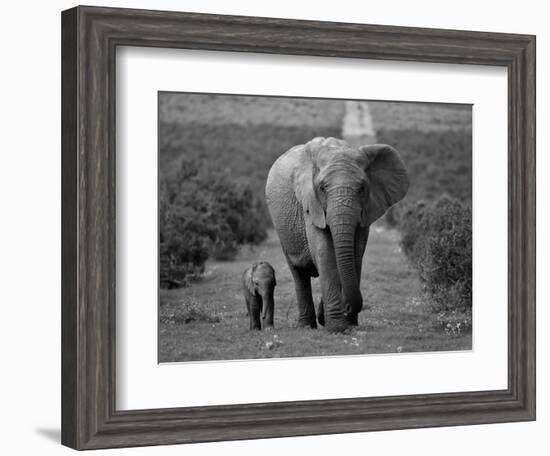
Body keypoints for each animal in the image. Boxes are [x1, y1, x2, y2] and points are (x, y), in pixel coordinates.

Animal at [268, 137, 410, 334]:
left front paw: (349, 324)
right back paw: (306, 326)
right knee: (299, 273)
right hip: (281, 227)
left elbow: (356, 253)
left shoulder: (366, 210)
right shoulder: (311, 205)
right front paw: (337, 328)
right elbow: (325, 253)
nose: (348, 308)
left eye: (362, 187)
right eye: (322, 188)